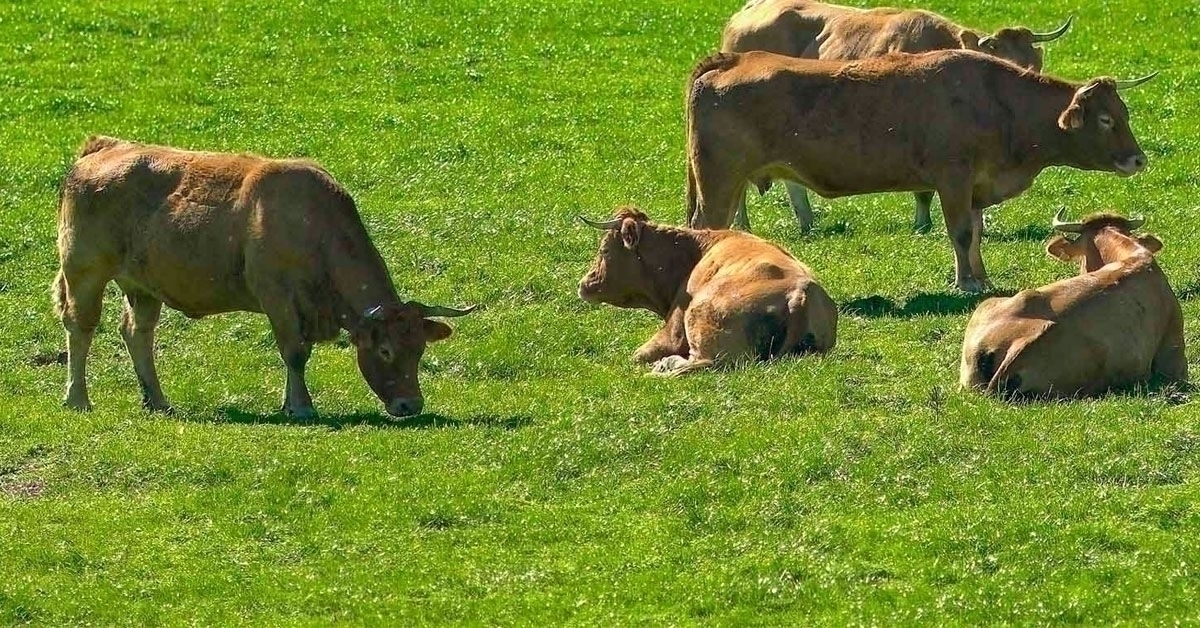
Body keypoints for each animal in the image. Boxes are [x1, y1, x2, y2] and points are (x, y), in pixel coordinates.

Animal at [52, 135, 472, 417]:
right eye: (385, 350)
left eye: (419, 350)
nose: (410, 404)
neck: (313, 224)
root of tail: (102, 147)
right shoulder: (277, 297)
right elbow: (295, 351)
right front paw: (301, 407)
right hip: (84, 272)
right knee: (81, 327)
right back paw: (78, 398)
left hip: (142, 286)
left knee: (137, 332)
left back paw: (157, 400)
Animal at [576, 206, 840, 377]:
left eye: (604, 250)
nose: (583, 284)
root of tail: (800, 293)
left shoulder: (672, 331)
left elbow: (638, 355)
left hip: (701, 319)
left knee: (702, 363)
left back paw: (662, 368)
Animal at [691, 49, 1156, 295]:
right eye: (1105, 120)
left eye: (1124, 112)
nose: (1138, 159)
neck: (997, 102)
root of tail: (732, 59)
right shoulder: (953, 179)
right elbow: (961, 232)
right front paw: (966, 283)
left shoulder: (975, 186)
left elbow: (976, 232)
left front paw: (980, 276)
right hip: (719, 182)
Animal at [715, 0, 1075, 232]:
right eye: (1003, 59)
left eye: (1033, 63)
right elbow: (925, 191)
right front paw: (922, 224)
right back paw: (742, 224)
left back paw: (806, 221)